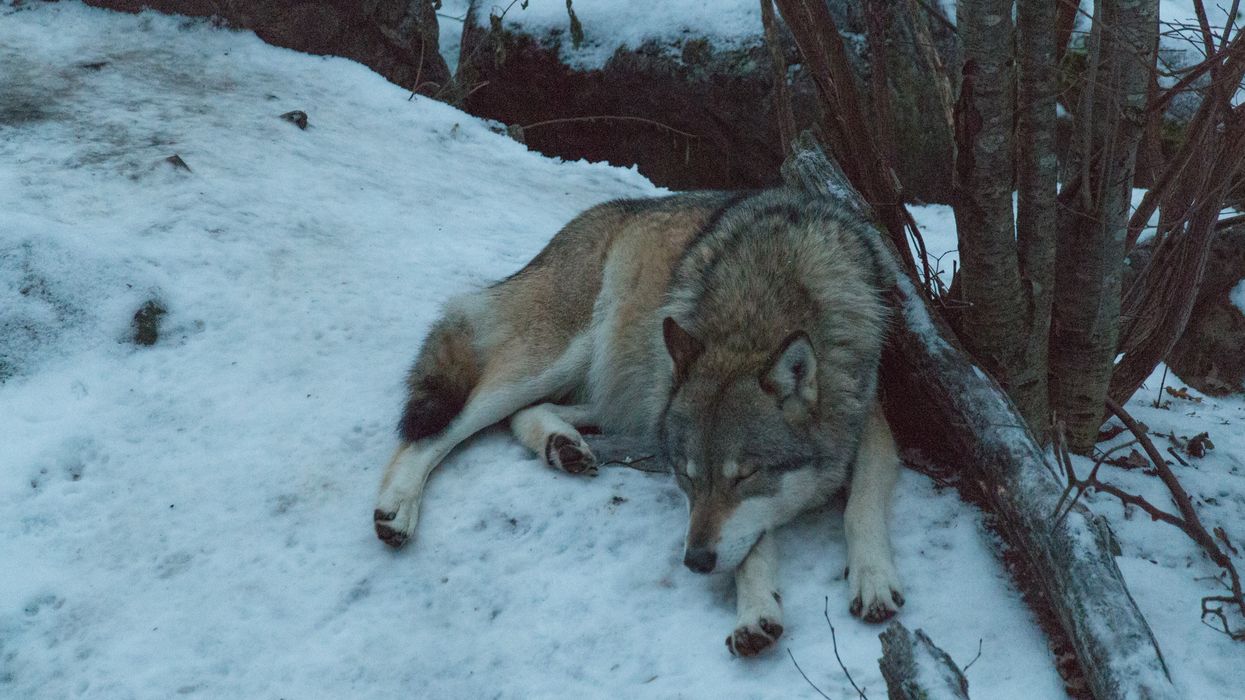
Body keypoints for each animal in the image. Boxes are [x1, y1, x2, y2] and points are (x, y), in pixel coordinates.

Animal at [374, 188, 904, 656]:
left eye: (746, 476)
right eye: (687, 477)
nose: (695, 562)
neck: (763, 305)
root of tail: (588, 219)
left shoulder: (872, 419)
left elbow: (860, 504)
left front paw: (873, 578)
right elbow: (753, 548)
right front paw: (755, 613)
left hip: (635, 392)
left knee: (528, 415)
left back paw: (562, 446)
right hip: (562, 363)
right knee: (437, 433)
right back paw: (396, 508)